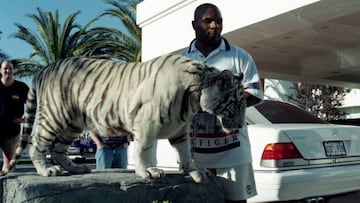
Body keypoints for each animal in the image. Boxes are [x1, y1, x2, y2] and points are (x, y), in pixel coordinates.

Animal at [2, 54, 245, 184]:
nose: (242, 124)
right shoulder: (147, 122)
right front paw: (148, 171)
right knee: (37, 142)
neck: (196, 95)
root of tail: (43, 70)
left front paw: (195, 172)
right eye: (236, 105)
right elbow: (144, 149)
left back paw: (76, 169)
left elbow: (185, 152)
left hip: (73, 123)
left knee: (59, 149)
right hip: (55, 115)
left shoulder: (179, 128)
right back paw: (46, 170)